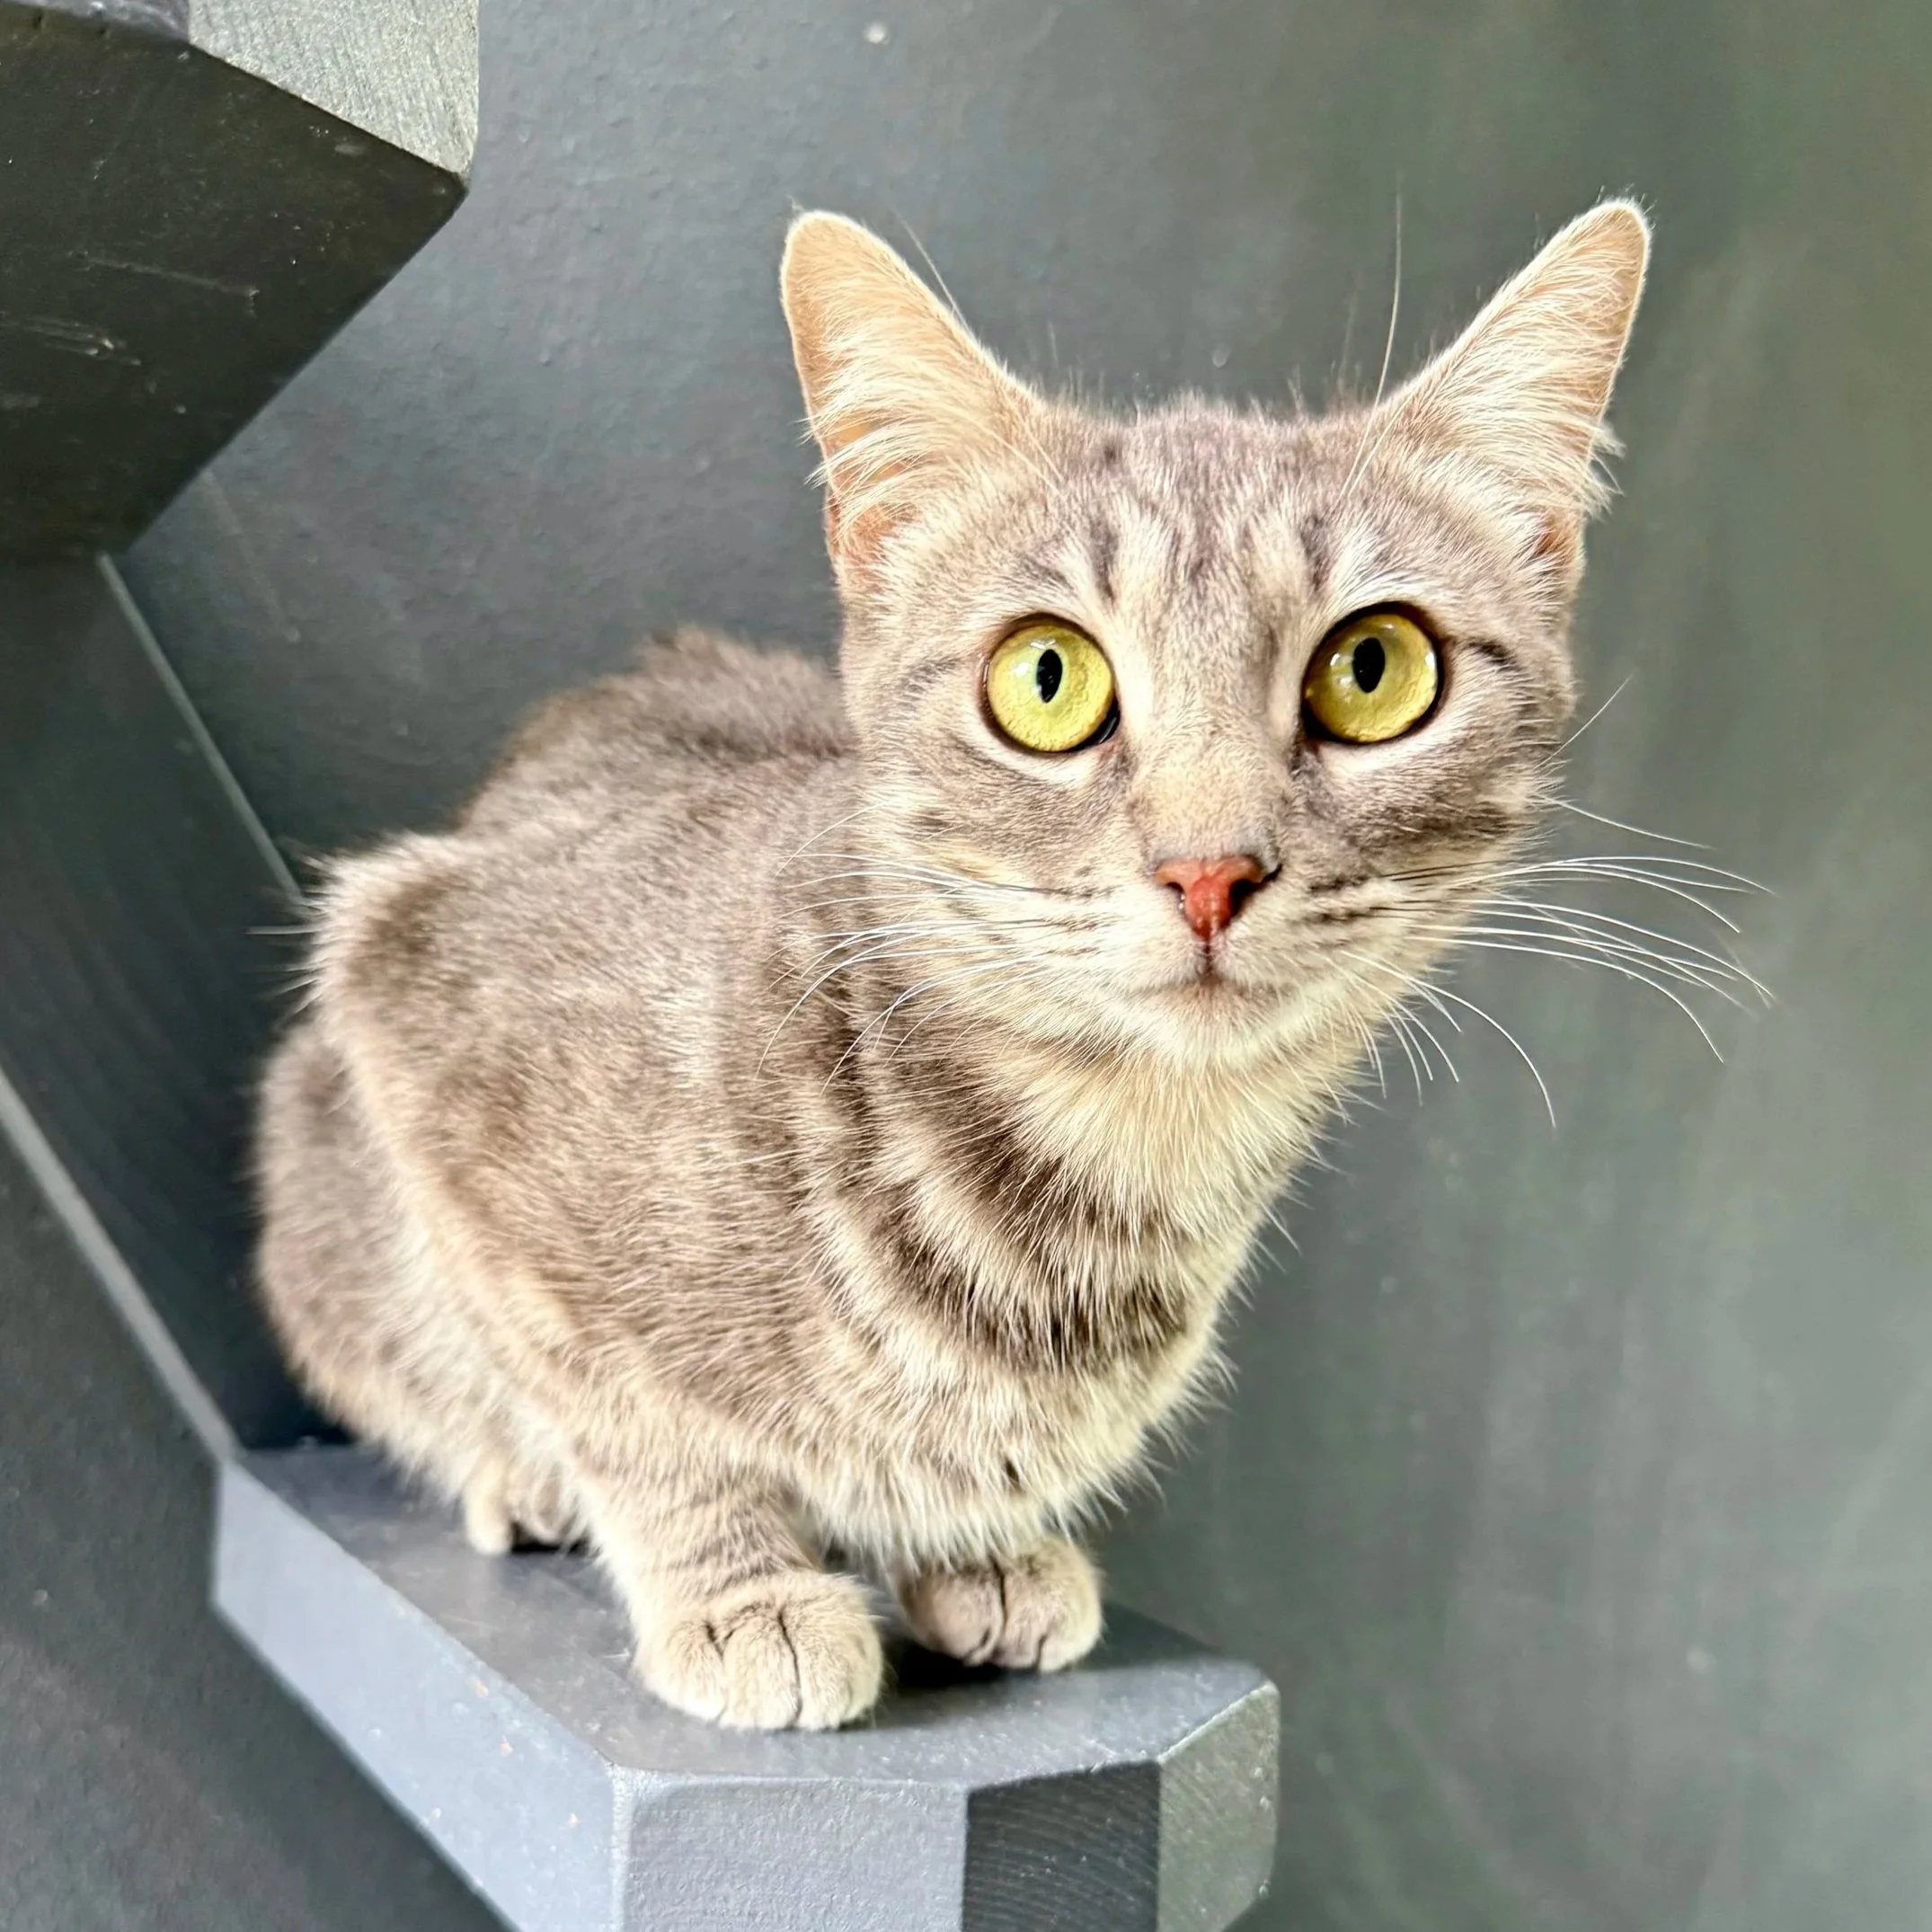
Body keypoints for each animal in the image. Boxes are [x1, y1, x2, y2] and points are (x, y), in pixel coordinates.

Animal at [256, 201, 1649, 1729]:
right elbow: (622, 1404)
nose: (1209, 869)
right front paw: (737, 1587)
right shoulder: (415, 995)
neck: (1117, 1166)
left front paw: (980, 1542)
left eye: (1374, 667)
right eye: (1047, 677)